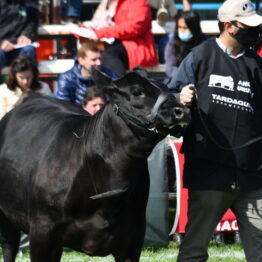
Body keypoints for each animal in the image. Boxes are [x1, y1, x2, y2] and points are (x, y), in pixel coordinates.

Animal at [0, 68, 188, 262]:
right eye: (137, 92)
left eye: (165, 87)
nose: (181, 110)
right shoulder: (41, 229)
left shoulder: (133, 237)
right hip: (7, 218)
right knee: (9, 247)